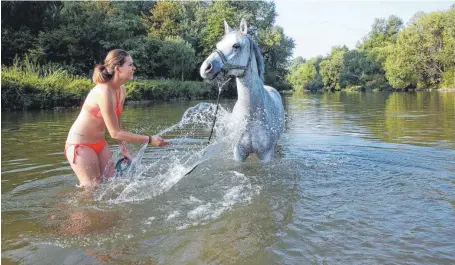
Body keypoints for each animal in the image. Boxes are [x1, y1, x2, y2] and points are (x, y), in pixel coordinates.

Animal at [200, 18, 284, 161]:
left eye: (236, 46)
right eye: (218, 45)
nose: (205, 68)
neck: (251, 116)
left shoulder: (266, 155)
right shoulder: (238, 153)